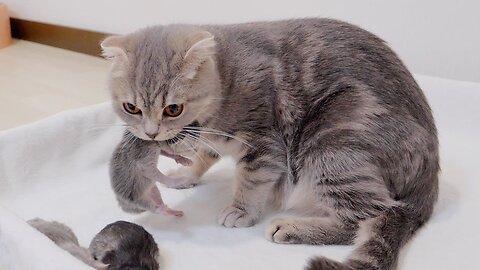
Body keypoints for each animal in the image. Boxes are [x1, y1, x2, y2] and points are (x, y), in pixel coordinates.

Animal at [103, 19, 440, 270]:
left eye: (173, 108)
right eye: (131, 108)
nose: (151, 133)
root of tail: (429, 181)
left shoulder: (264, 144)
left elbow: (251, 181)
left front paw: (240, 210)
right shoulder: (211, 140)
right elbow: (203, 156)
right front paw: (185, 175)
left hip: (331, 143)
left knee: (367, 216)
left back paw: (290, 228)